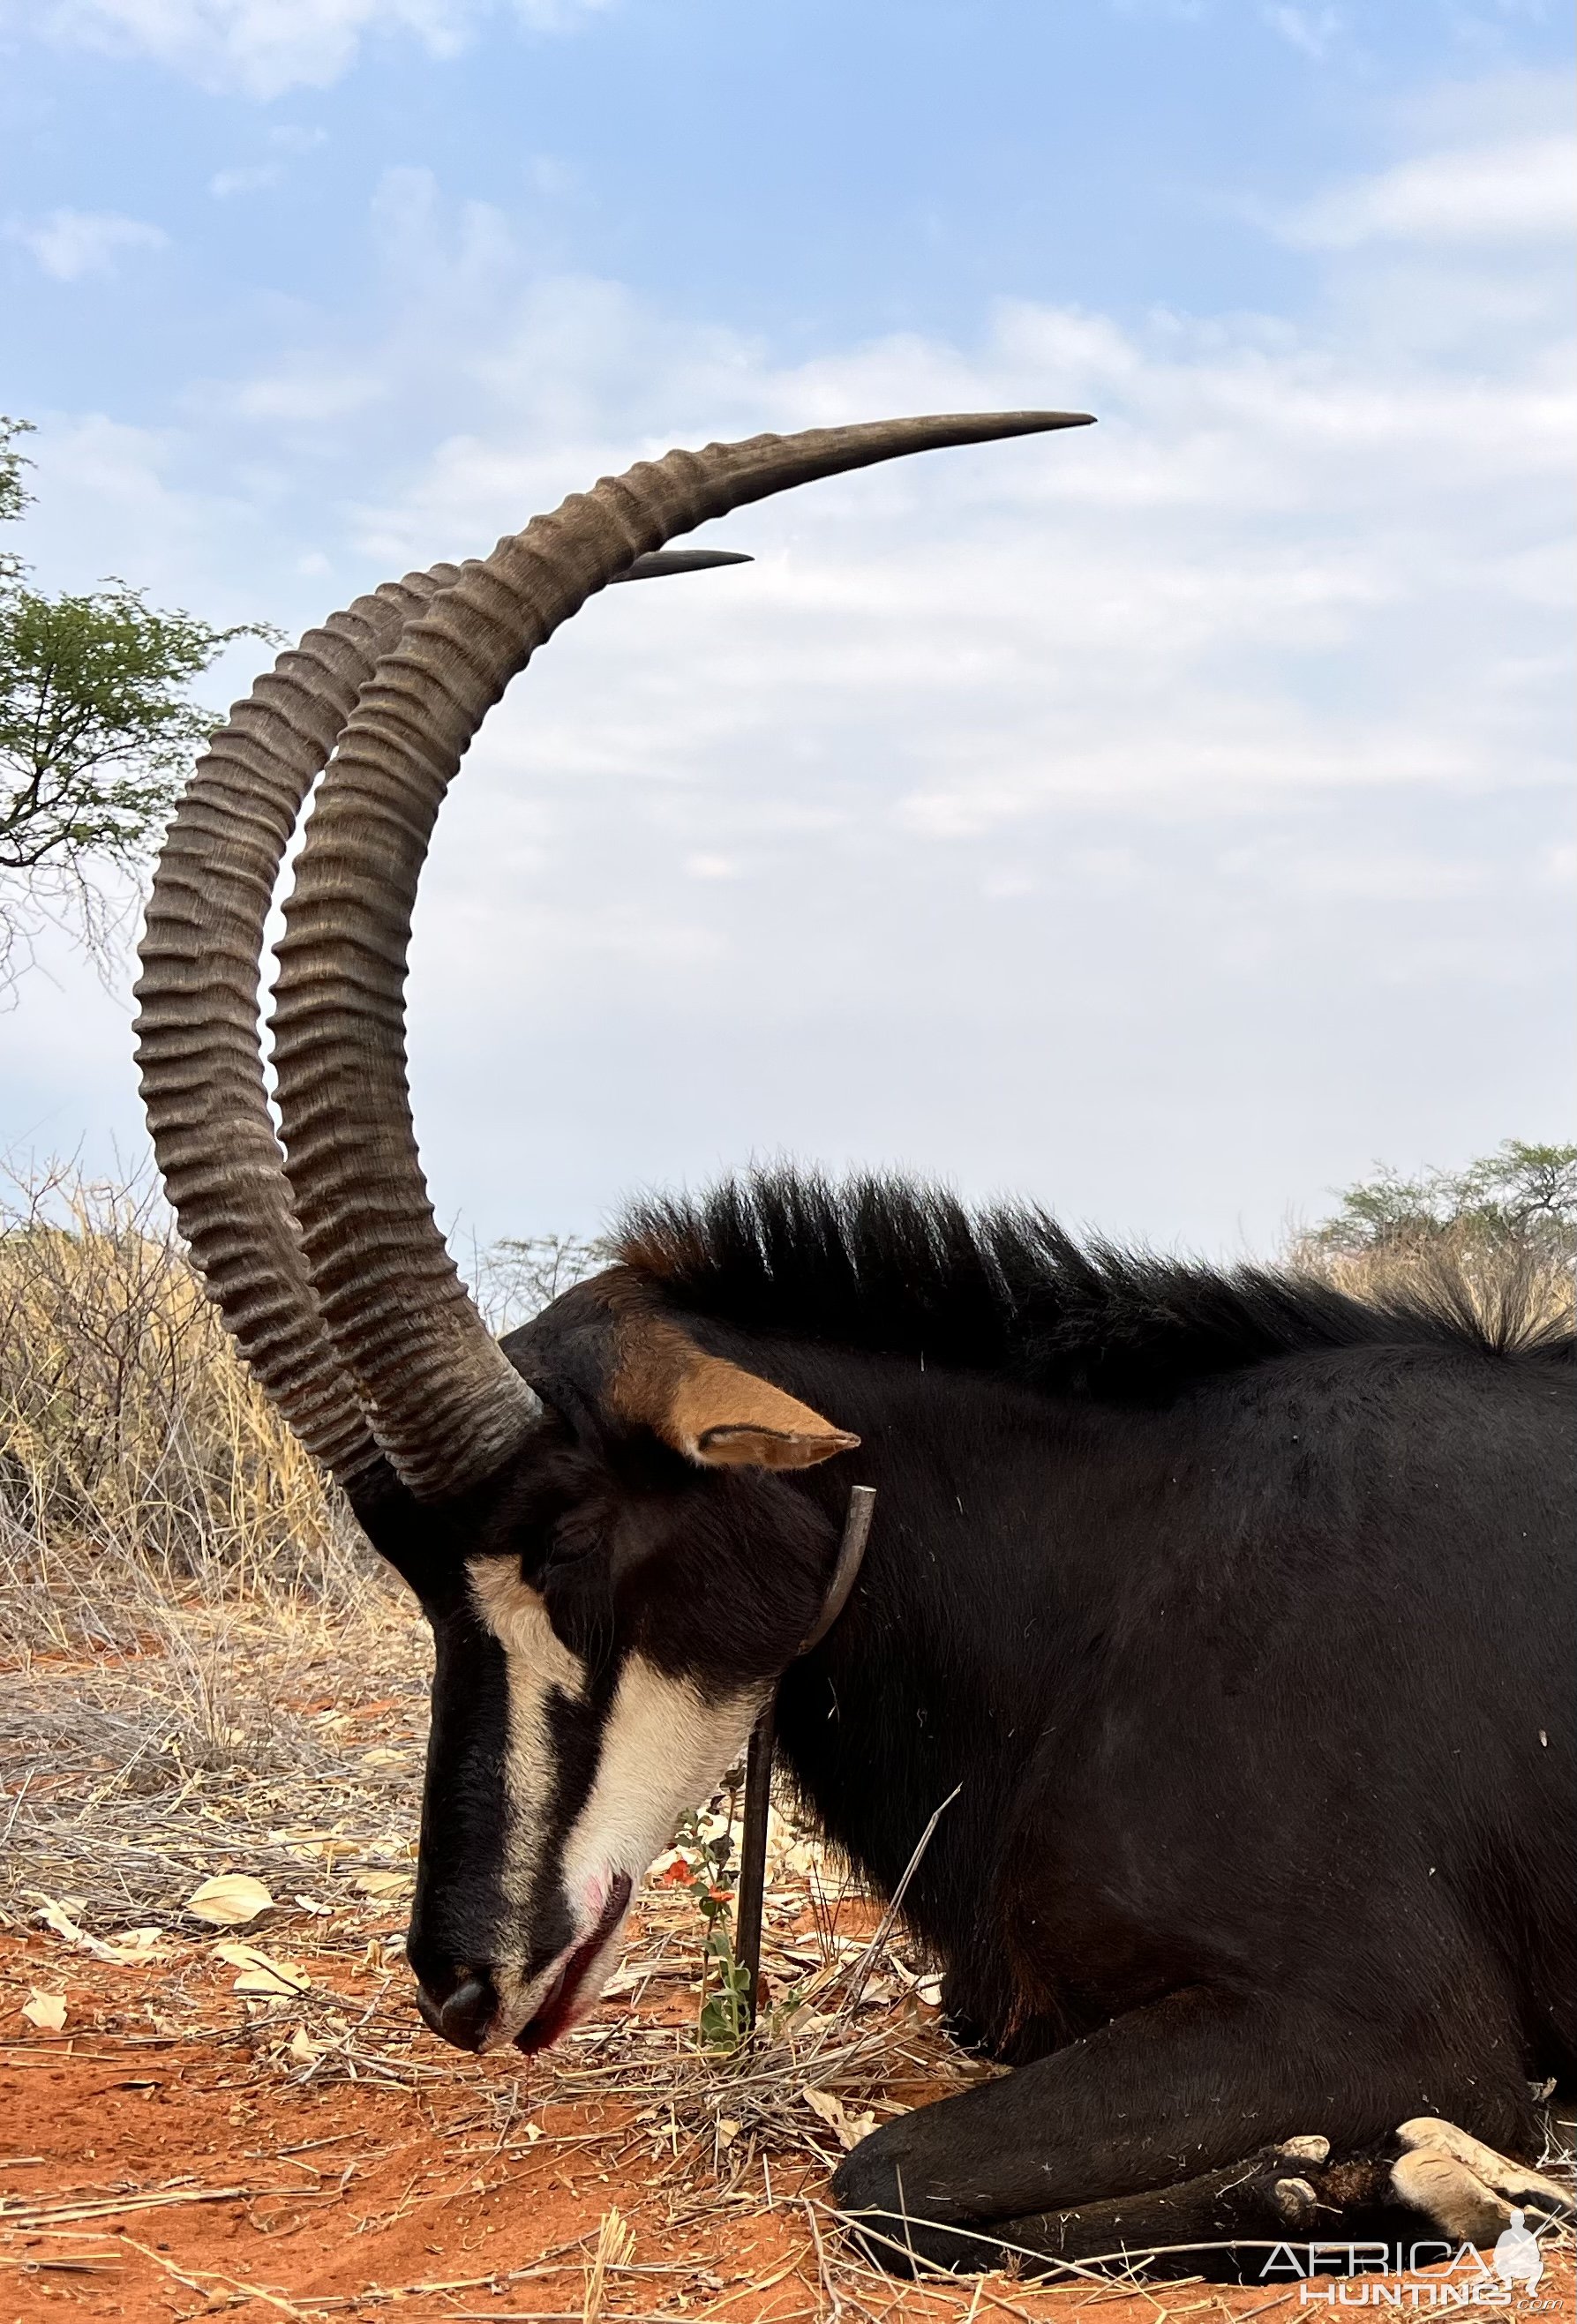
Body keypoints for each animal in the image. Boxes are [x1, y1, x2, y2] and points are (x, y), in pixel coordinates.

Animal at [136, 413, 1577, 2268]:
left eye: (571, 1537)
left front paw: (1384, 2175)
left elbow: (882, 2173)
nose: (462, 1980)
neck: (1115, 1565)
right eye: (415, 1572)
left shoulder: (1394, 2022)